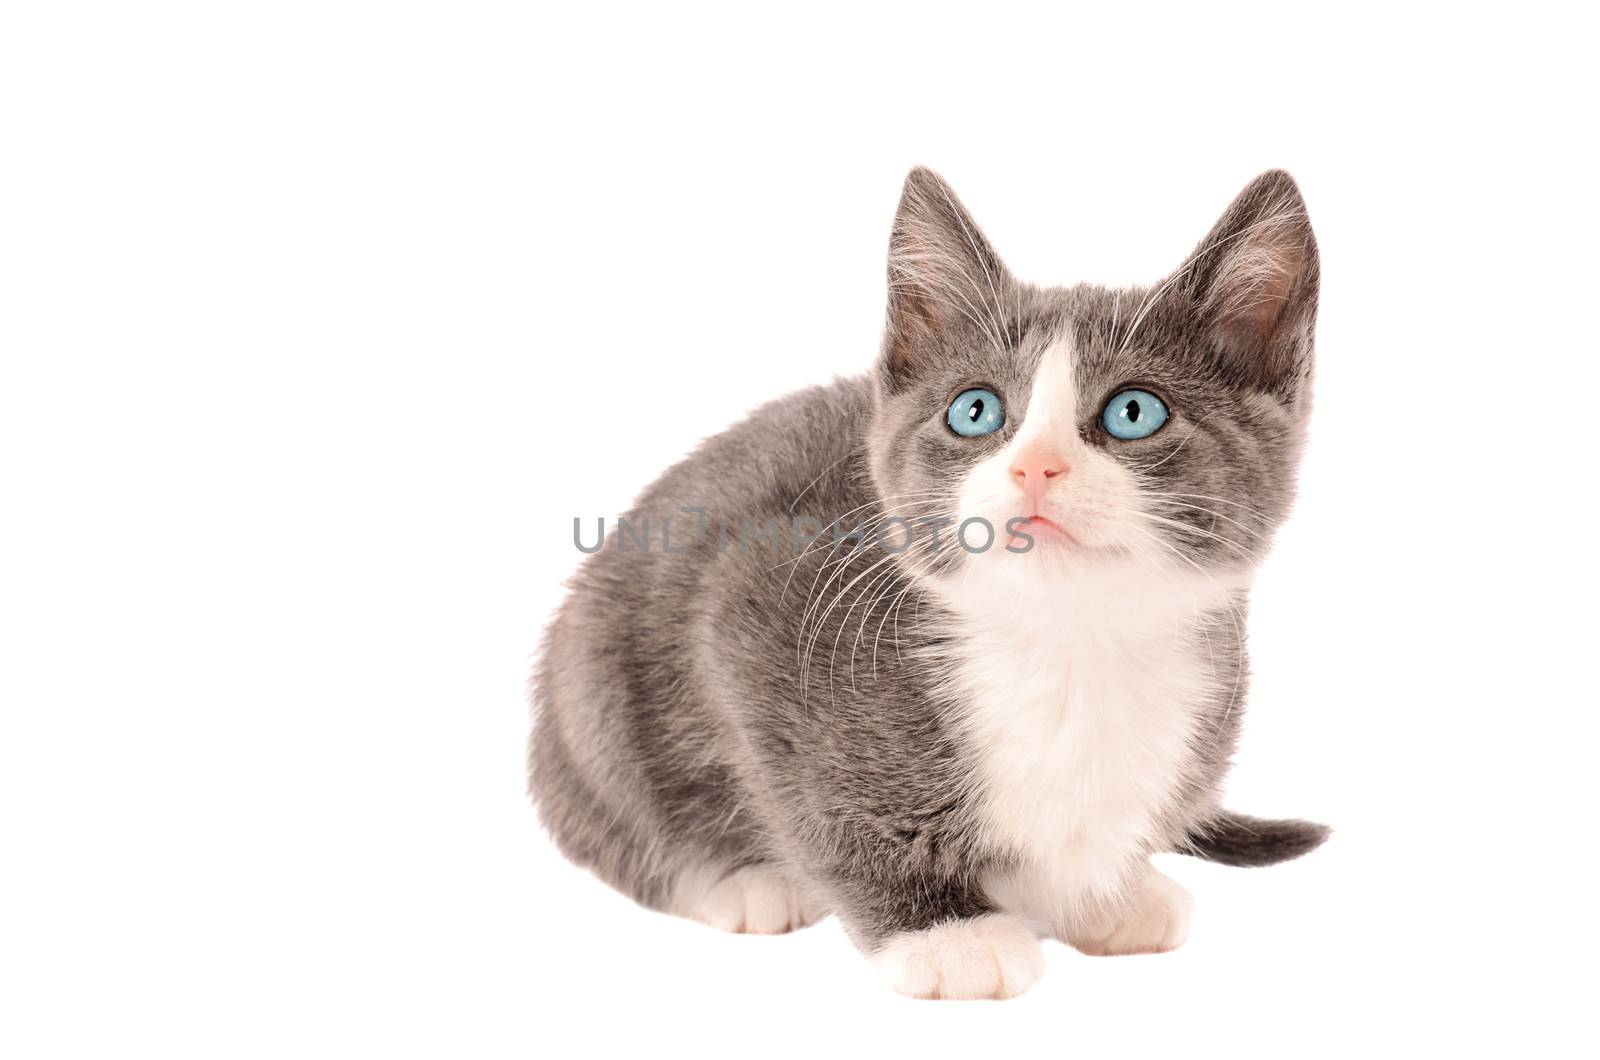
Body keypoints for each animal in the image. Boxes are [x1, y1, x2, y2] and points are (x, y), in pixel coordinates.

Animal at [531, 170, 1331, 999]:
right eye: (975, 411)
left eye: (1134, 412)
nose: (1034, 466)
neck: (1068, 642)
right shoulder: (747, 599)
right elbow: (819, 803)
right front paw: (947, 931)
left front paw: (1103, 893)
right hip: (589, 681)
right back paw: (738, 879)